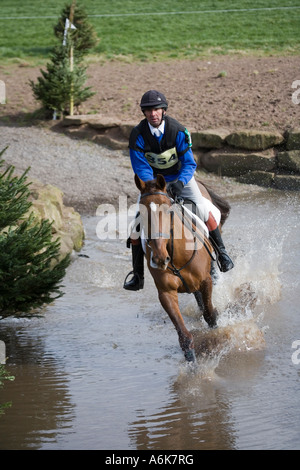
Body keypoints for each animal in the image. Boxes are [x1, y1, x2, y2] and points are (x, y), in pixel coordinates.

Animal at [134, 174, 230, 362]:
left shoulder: (205, 281)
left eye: (168, 211)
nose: (159, 258)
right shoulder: (166, 293)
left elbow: (210, 315)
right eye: (142, 213)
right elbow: (183, 334)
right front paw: (192, 362)